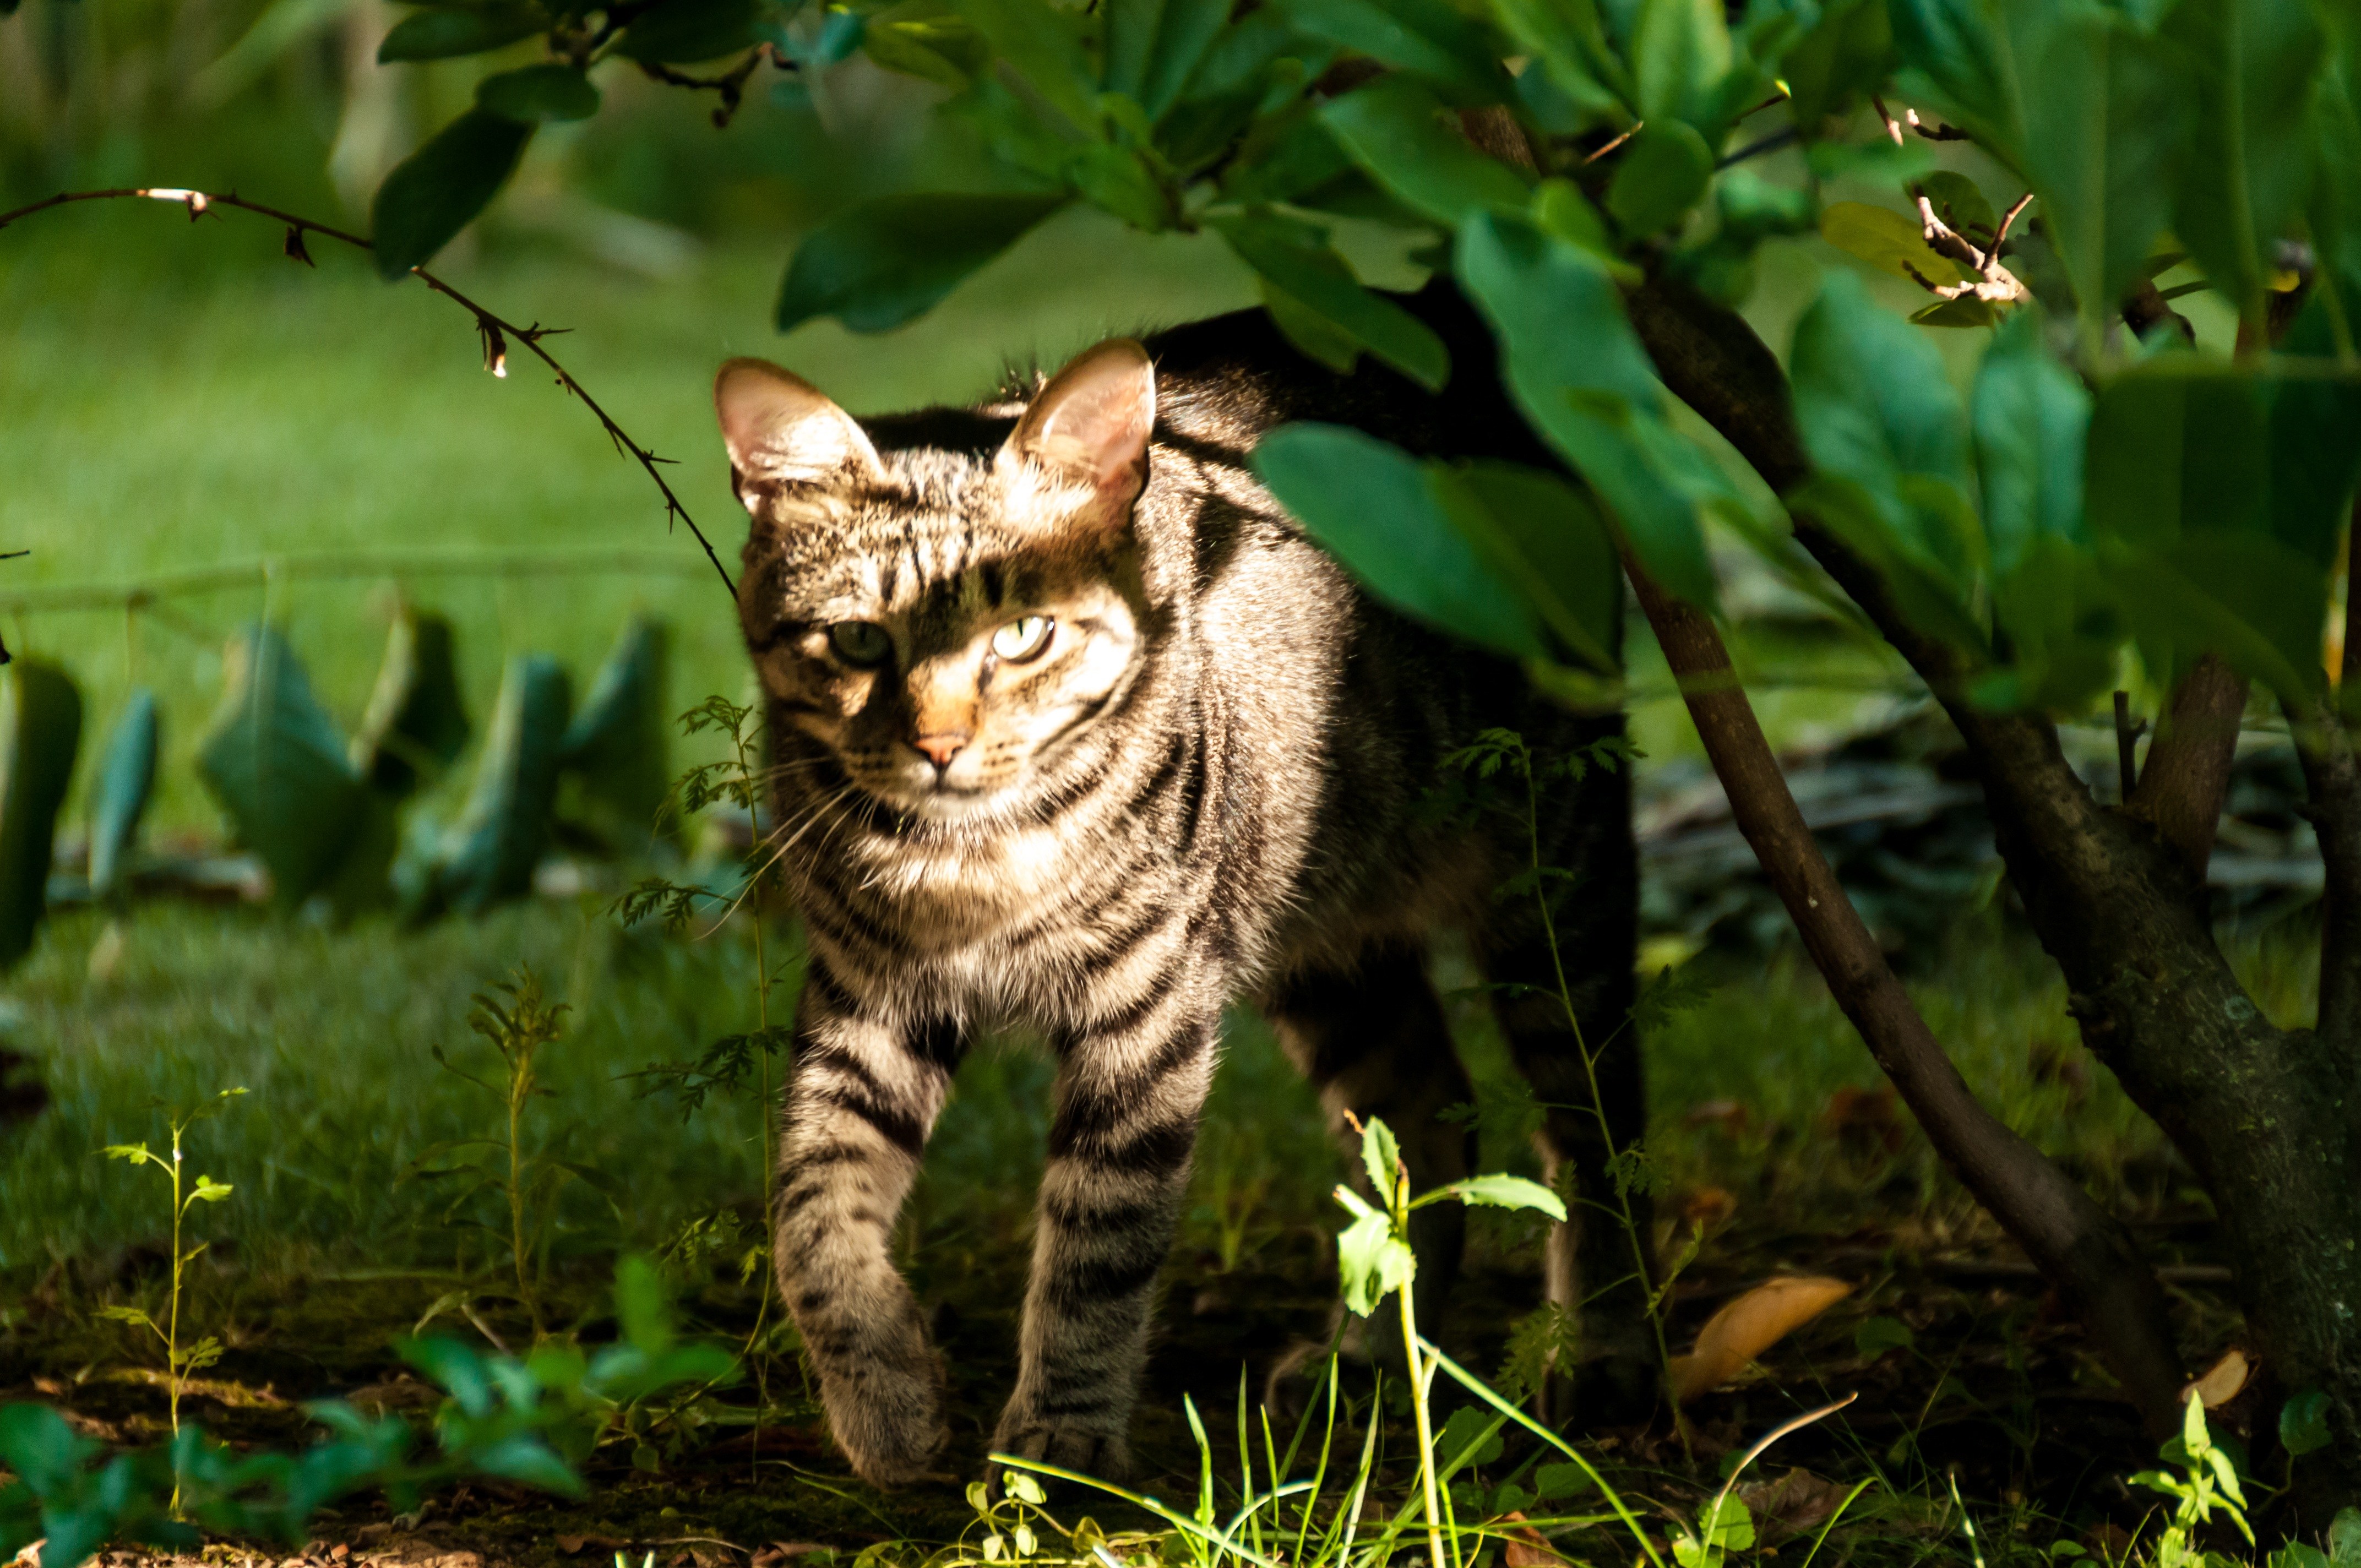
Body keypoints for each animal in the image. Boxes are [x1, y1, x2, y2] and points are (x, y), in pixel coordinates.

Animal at [717, 279, 1643, 1483]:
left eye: (1022, 634)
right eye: (859, 641)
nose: (938, 744)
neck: (969, 855)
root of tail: (1434, 301)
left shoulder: (1146, 1008)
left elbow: (1098, 1239)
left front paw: (1058, 1439)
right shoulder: (865, 997)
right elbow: (811, 1207)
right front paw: (884, 1394)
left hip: (1553, 882)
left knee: (1596, 1121)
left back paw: (1605, 1349)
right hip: (1319, 934)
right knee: (1429, 1114)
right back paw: (1367, 1361)